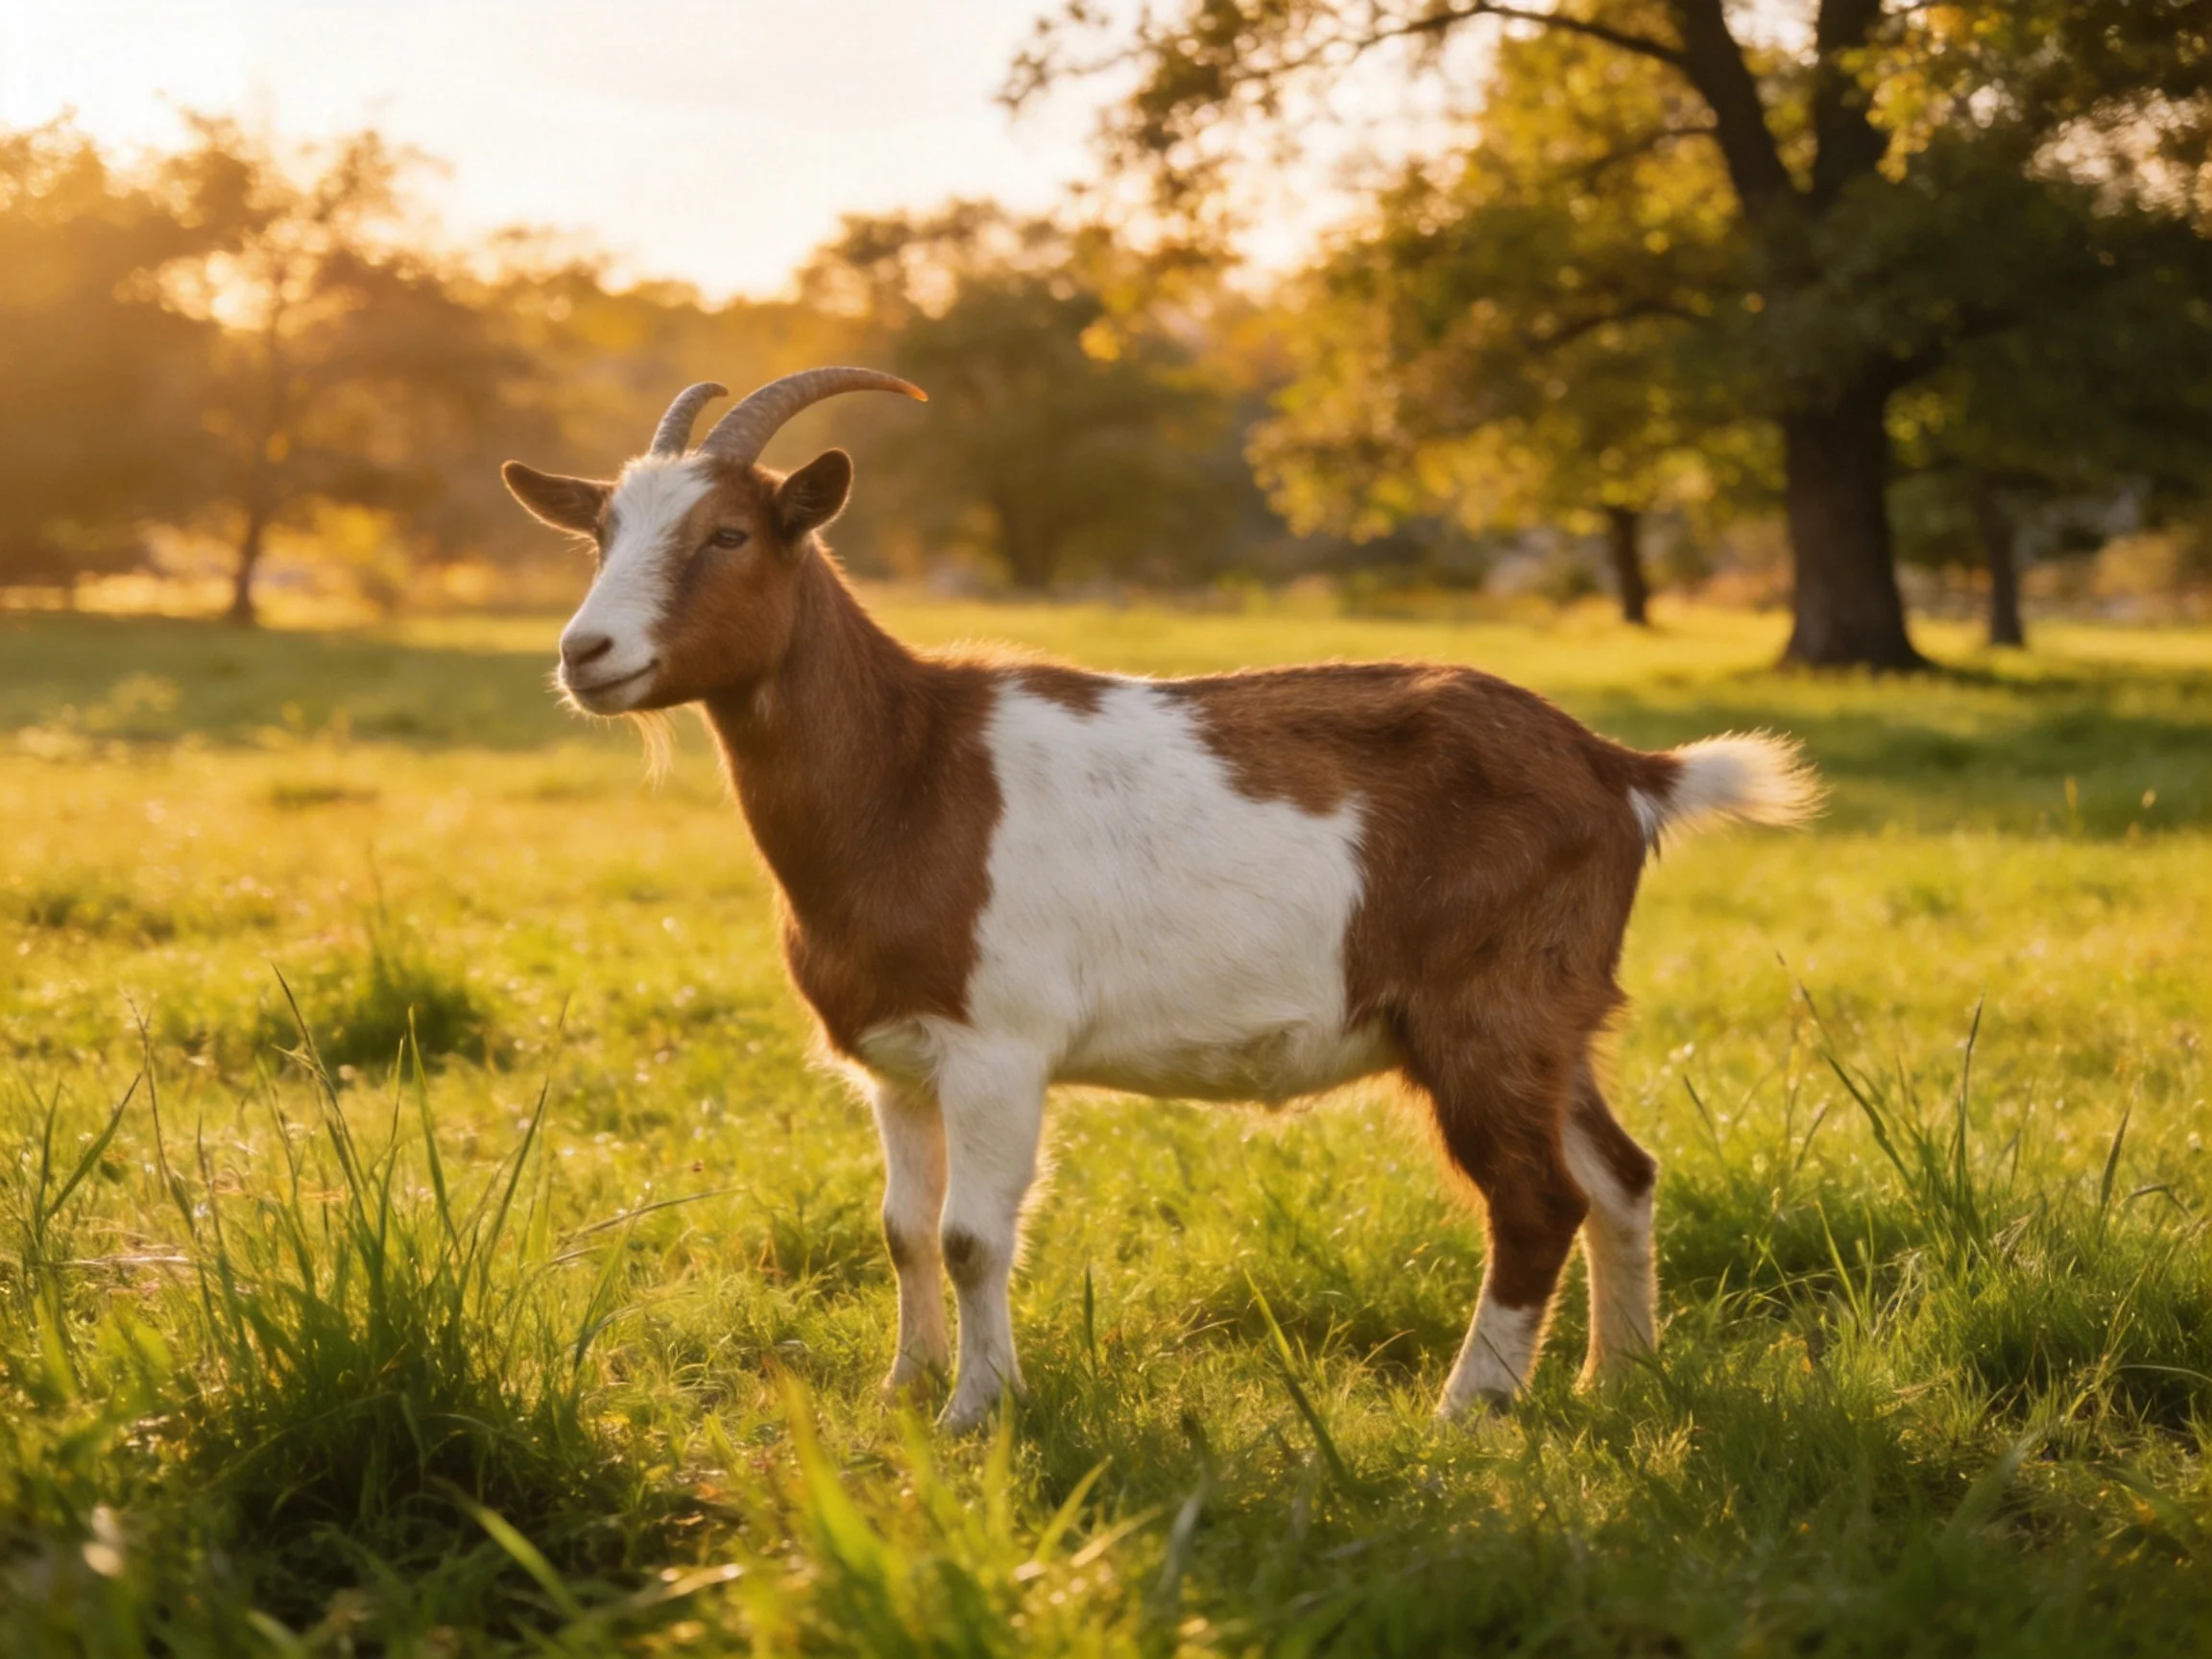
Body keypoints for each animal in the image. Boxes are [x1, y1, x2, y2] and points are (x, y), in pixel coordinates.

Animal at [501, 370, 1820, 1431]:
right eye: (602, 531)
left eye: (728, 532)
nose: (584, 653)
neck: (909, 770)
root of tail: (1622, 771)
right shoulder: (896, 1060)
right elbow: (903, 1231)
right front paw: (901, 1391)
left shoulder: (997, 1046)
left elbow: (974, 1236)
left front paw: (977, 1412)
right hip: (1558, 1013)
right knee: (1621, 1175)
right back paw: (1622, 1382)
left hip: (1485, 1004)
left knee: (1537, 1200)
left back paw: (1469, 1410)